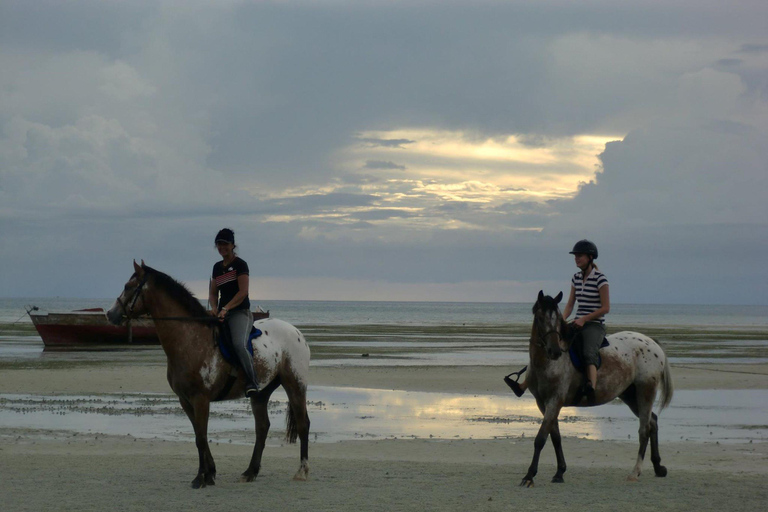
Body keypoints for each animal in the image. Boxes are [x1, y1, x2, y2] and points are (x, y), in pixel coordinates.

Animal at [108, 260, 312, 488]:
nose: (110, 314)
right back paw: (250, 472)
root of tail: (296, 332)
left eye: (128, 286)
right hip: (261, 393)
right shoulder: (185, 400)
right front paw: (210, 473)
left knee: (303, 424)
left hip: (295, 384)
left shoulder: (200, 399)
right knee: (262, 428)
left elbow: (201, 438)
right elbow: (200, 436)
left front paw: (200, 477)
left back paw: (302, 471)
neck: (190, 338)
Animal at [520, 292, 676, 488]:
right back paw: (658, 467)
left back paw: (635, 472)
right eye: (540, 318)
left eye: (557, 319)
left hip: (645, 391)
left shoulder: (555, 401)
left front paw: (529, 476)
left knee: (644, 429)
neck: (546, 364)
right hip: (630, 395)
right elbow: (555, 437)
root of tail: (652, 343)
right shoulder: (543, 403)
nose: (555, 351)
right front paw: (559, 472)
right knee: (652, 421)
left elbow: (541, 438)